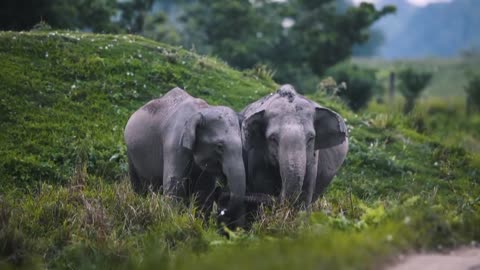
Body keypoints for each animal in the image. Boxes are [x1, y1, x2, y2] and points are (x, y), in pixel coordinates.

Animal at [124, 87, 244, 226]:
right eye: (219, 146)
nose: (222, 212)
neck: (202, 110)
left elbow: (204, 190)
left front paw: (200, 224)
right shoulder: (174, 143)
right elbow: (175, 185)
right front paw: (174, 221)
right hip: (130, 153)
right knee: (138, 186)